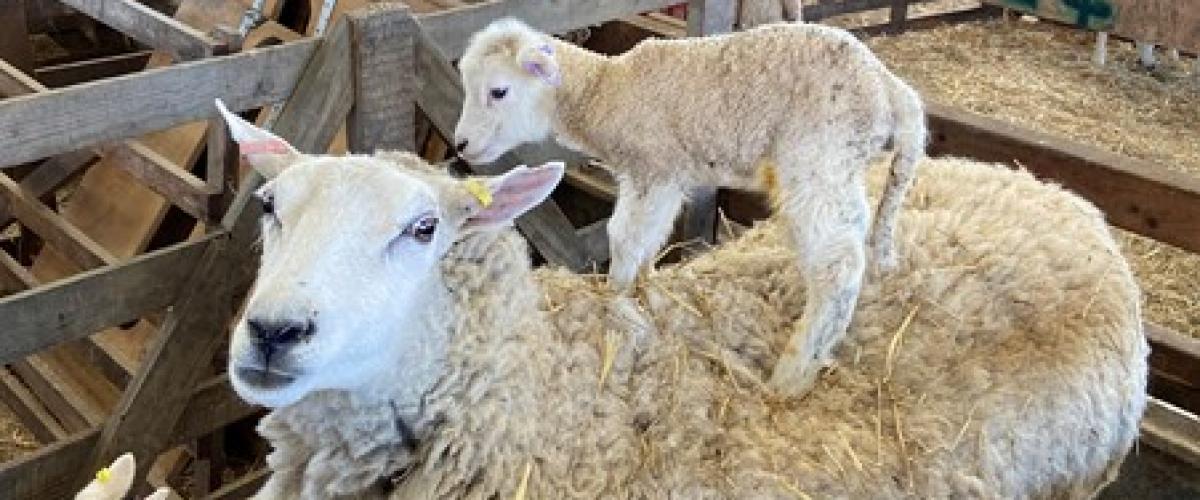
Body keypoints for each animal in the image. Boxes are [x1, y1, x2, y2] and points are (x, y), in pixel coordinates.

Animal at [451, 17, 926, 395]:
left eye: (498, 91)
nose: (460, 145)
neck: (607, 90)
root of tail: (889, 86)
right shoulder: (667, 178)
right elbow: (652, 236)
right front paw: (647, 286)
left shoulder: (652, 170)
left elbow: (622, 236)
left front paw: (615, 297)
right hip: (840, 164)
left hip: (820, 155)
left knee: (838, 264)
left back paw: (792, 375)